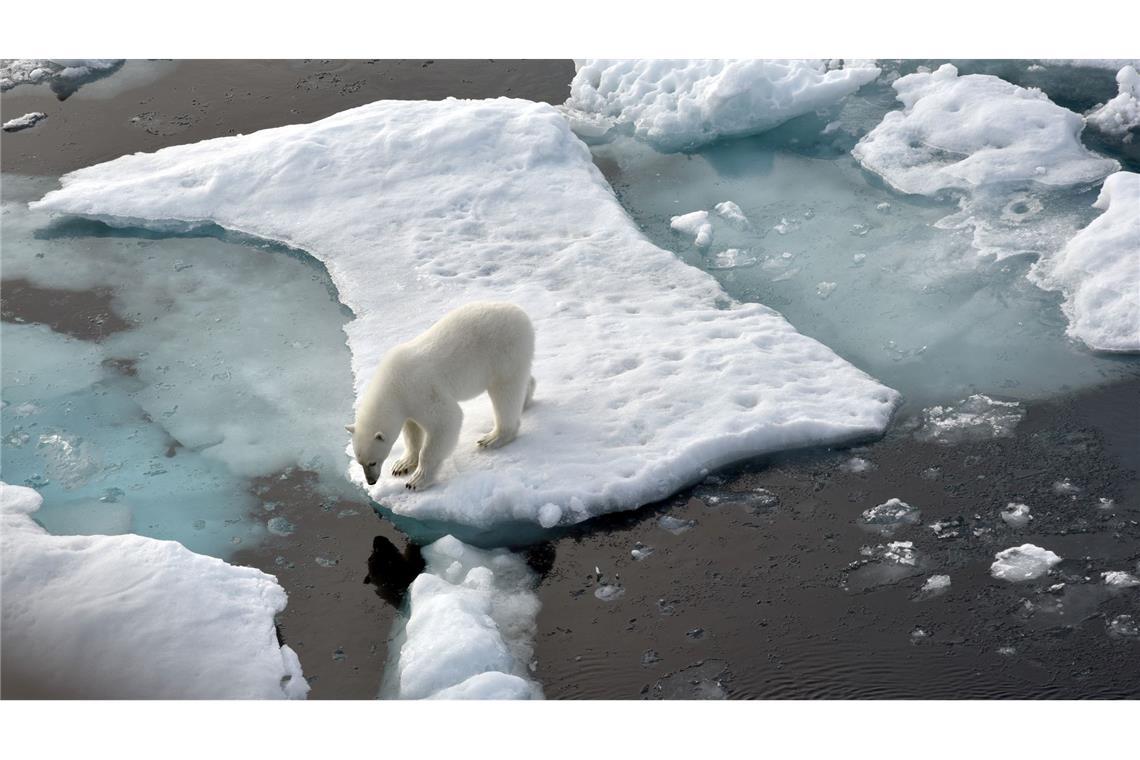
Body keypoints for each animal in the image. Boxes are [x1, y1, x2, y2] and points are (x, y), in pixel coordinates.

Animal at [344, 300, 535, 489]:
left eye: (372, 462)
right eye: (360, 462)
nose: (371, 481)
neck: (392, 384)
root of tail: (521, 314)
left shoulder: (420, 389)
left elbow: (446, 420)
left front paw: (417, 480)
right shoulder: (407, 403)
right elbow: (412, 430)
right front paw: (402, 465)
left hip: (504, 351)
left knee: (505, 392)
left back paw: (493, 437)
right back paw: (525, 399)